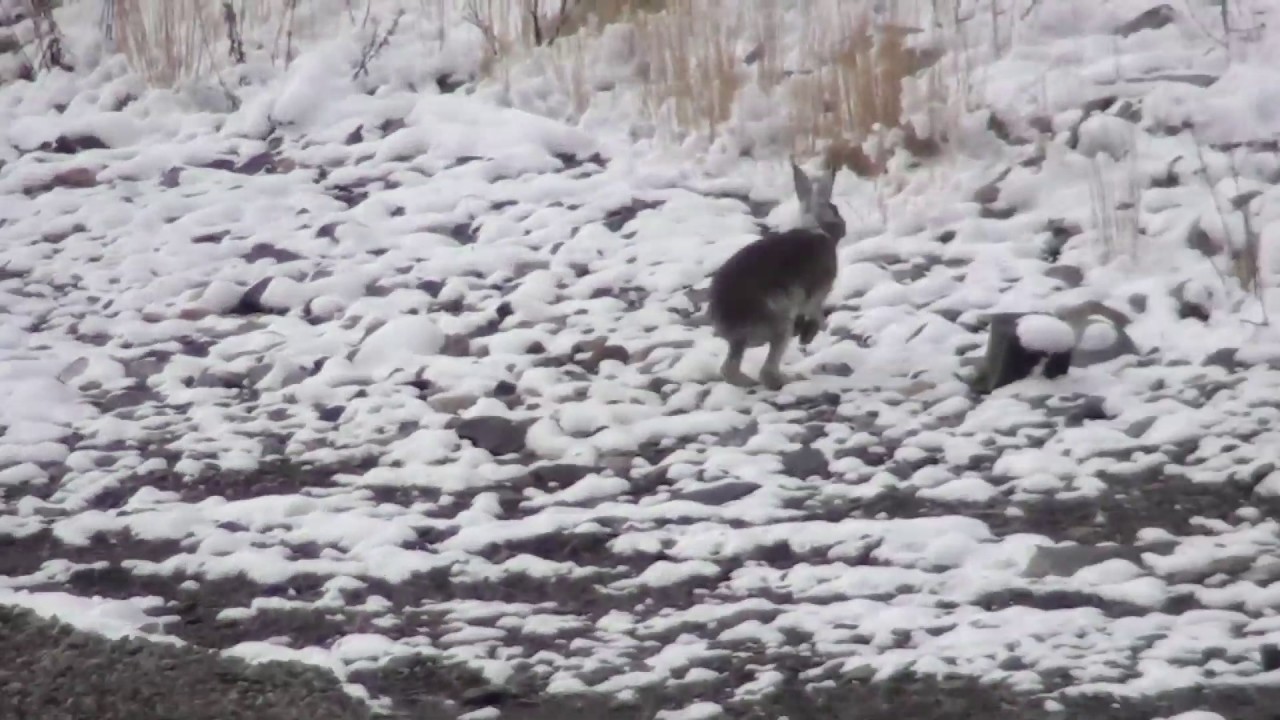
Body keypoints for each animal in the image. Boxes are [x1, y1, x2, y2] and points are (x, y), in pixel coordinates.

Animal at [706, 159, 846, 390]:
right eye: (835, 210)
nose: (844, 229)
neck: (813, 224)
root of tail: (729, 321)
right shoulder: (816, 294)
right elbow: (815, 311)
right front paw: (814, 331)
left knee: (730, 368)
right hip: (780, 323)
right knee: (766, 371)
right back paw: (786, 379)